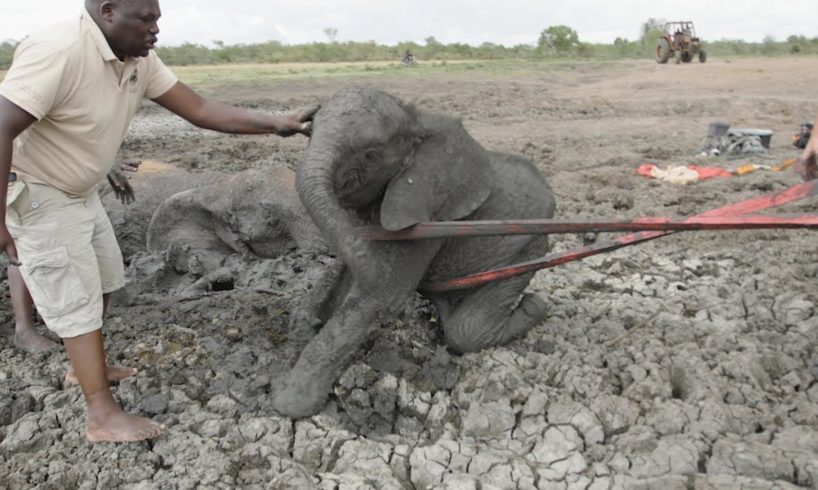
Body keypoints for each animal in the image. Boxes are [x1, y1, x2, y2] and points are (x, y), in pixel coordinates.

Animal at [274, 87, 556, 418]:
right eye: (309, 133)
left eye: (370, 156)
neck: (416, 119)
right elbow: (345, 275)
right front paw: (301, 337)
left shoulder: (425, 216)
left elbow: (383, 294)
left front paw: (288, 402)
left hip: (527, 246)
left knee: (466, 331)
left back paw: (534, 306)